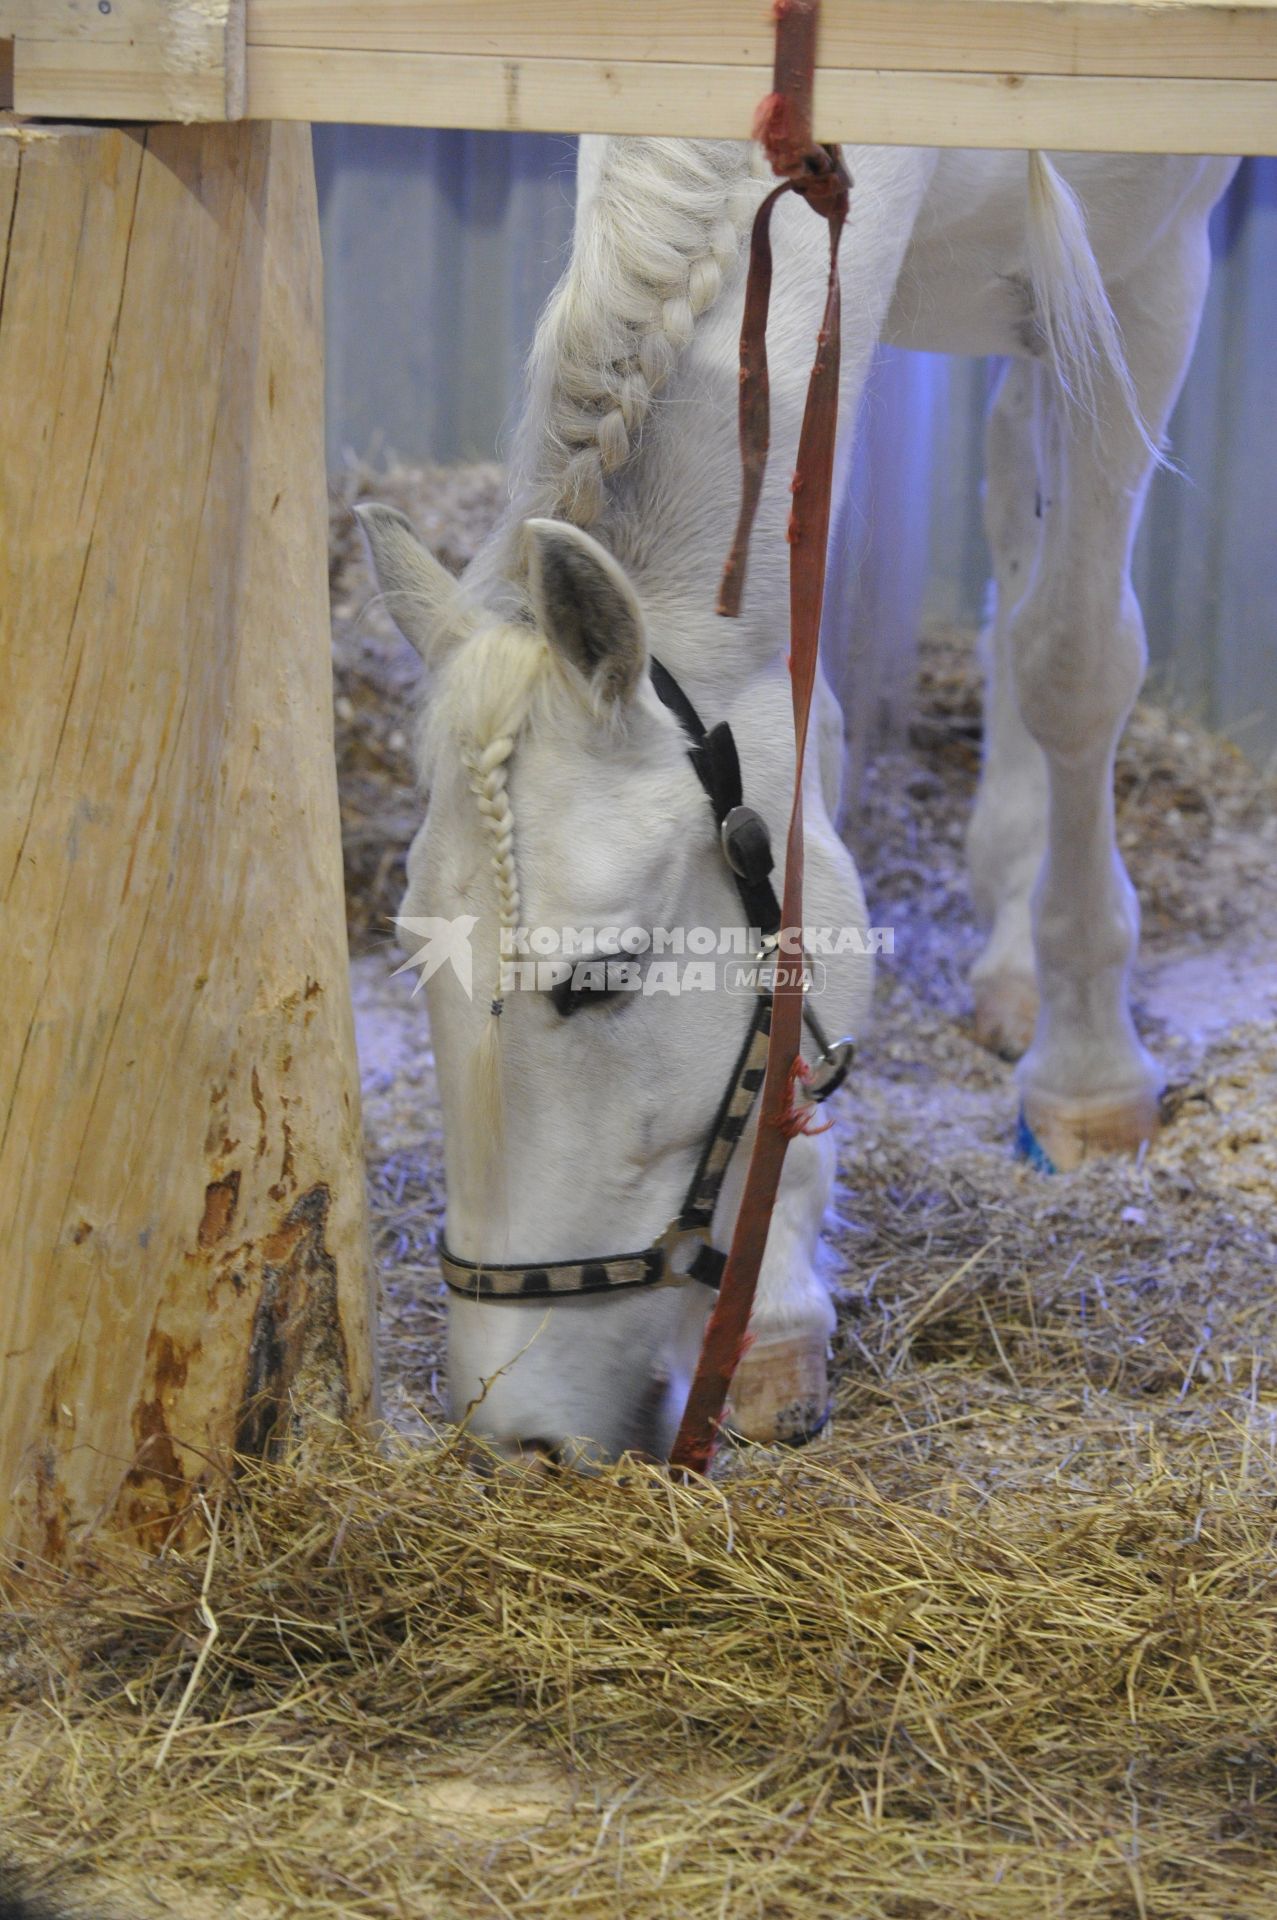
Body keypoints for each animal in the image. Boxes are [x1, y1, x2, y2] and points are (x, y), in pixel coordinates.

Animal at [355, 135, 1236, 1459]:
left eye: (598, 980)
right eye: (415, 960)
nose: (513, 1437)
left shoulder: (1144, 278)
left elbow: (1074, 660)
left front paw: (1088, 1079)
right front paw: (773, 1309)